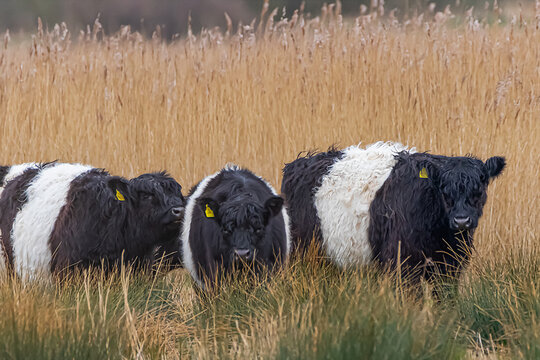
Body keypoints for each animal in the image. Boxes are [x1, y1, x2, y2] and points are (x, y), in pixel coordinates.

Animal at [282, 142, 506, 280]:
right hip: (303, 251)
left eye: (480, 189)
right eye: (443, 190)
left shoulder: (450, 266)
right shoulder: (402, 263)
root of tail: (298, 164)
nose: (461, 221)